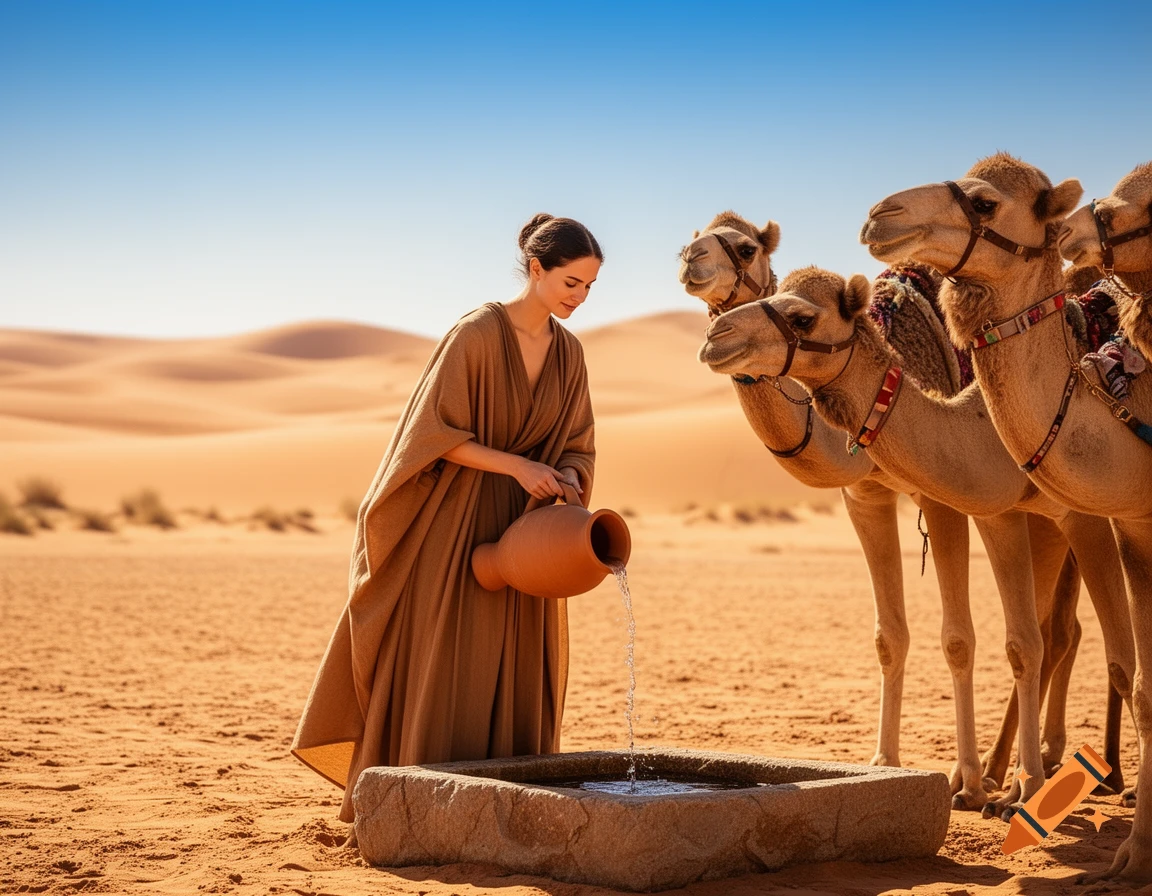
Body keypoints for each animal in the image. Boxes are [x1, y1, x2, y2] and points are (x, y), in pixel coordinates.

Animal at [679, 215, 1098, 813]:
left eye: (743, 246)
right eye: (694, 238)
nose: (691, 262)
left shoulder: (943, 497)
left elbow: (957, 639)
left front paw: (966, 781)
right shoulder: (866, 497)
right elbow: (889, 636)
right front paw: (884, 761)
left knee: (1056, 628)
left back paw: (1036, 770)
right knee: (1059, 628)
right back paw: (1027, 764)